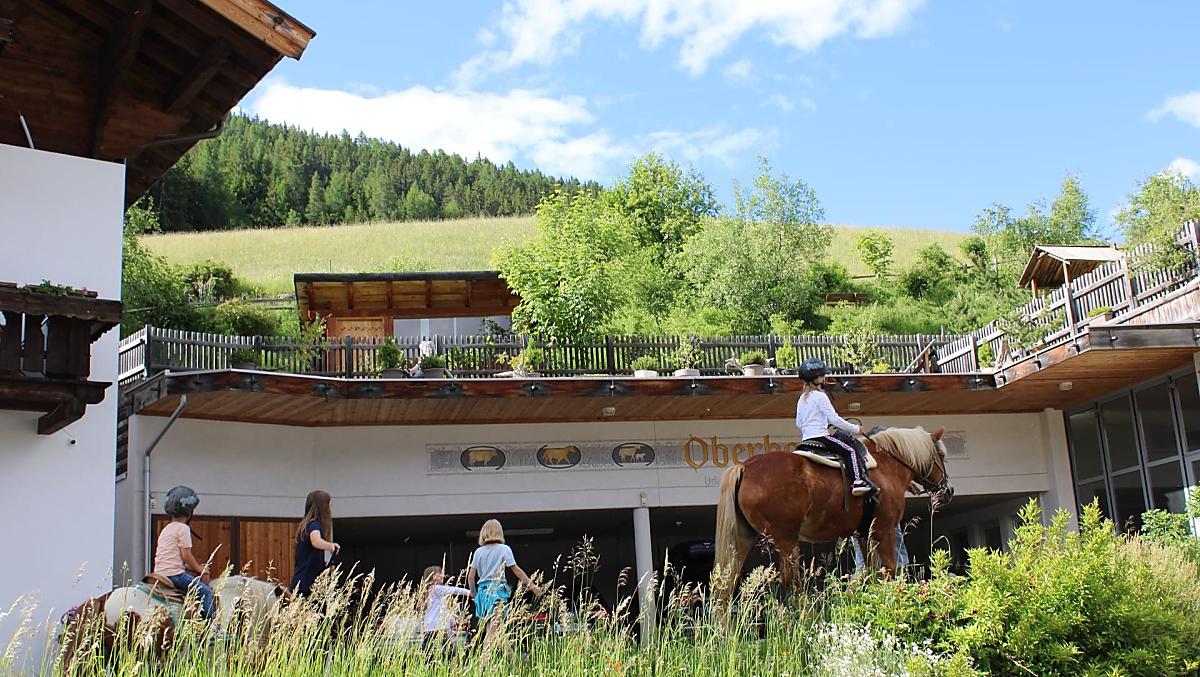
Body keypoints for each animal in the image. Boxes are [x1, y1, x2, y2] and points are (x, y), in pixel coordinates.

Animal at [712, 426, 954, 604]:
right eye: (942, 455)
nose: (948, 490)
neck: (886, 466)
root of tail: (744, 467)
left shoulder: (863, 534)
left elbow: (871, 572)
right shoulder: (884, 531)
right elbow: (890, 570)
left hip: (743, 539)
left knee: (727, 582)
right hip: (786, 538)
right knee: (792, 581)